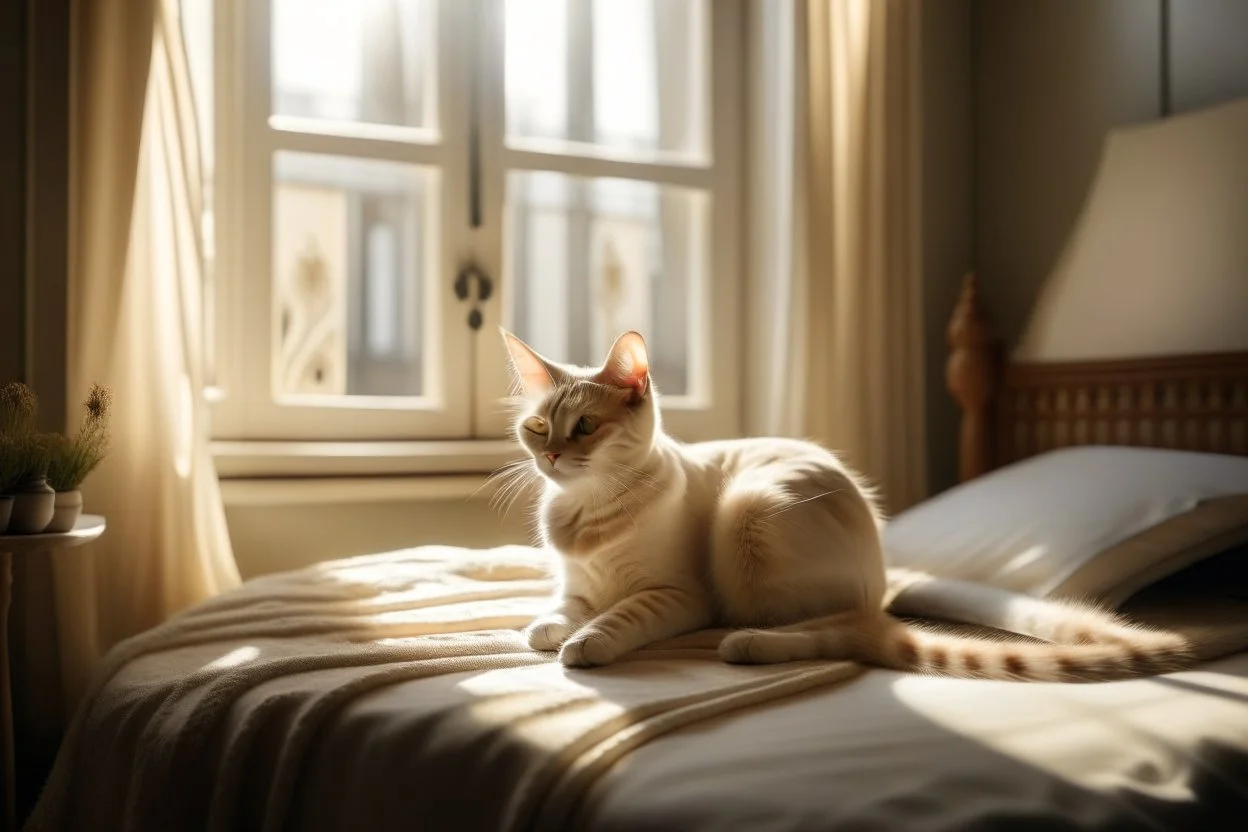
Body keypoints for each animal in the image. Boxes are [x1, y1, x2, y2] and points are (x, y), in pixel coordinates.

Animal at [499, 326, 1198, 683]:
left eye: (585, 428)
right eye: (538, 428)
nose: (552, 455)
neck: (586, 515)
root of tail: (884, 573)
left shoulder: (678, 594)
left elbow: (619, 615)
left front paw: (586, 643)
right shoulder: (575, 583)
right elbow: (559, 608)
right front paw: (550, 627)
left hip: (747, 514)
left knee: (843, 632)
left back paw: (751, 645)